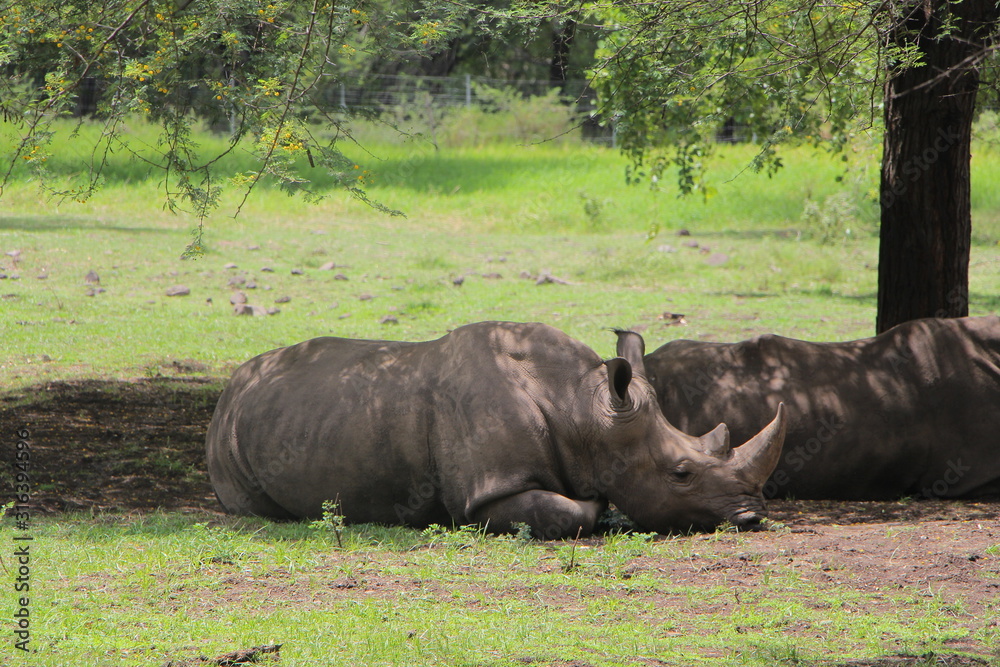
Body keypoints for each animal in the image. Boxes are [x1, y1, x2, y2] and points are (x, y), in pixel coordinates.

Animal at [206, 321, 787, 537]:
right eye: (681, 474)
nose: (752, 517)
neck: (583, 409)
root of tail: (232, 388)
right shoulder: (489, 491)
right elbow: (569, 511)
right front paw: (595, 504)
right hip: (227, 439)